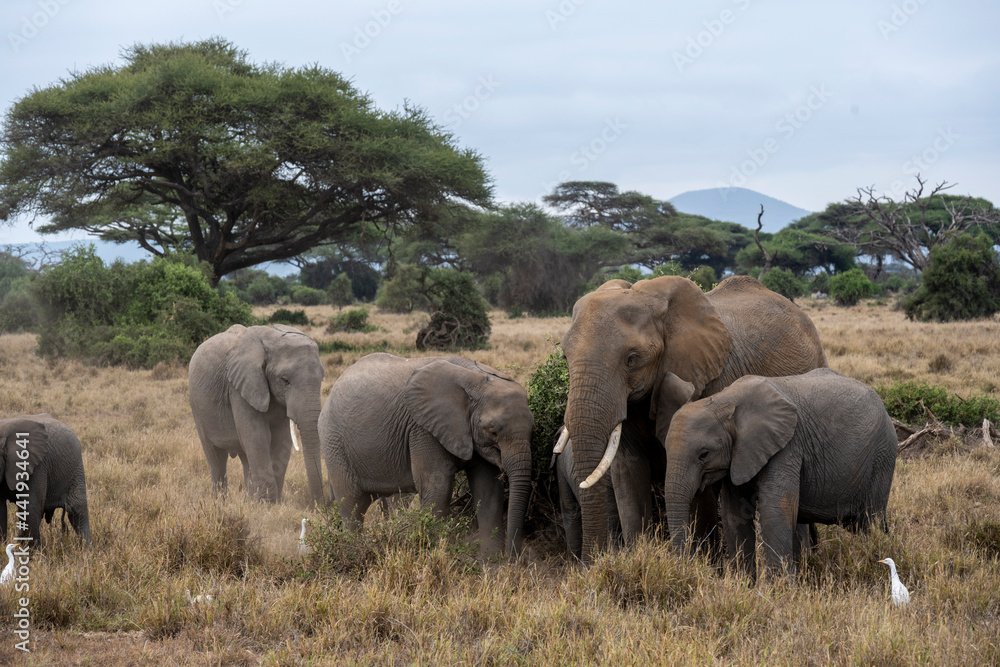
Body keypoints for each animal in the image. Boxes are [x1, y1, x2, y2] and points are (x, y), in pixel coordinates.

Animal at [0, 414, 92, 552]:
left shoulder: (36, 466)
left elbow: (31, 506)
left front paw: (34, 554)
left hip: (75, 466)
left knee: (77, 510)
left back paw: (88, 552)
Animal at [188, 324, 324, 506]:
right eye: (285, 380)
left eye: (322, 378)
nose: (321, 506)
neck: (271, 338)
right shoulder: (239, 386)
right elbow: (258, 436)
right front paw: (266, 505)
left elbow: (281, 440)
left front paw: (270, 504)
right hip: (197, 407)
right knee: (216, 459)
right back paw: (219, 504)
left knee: (245, 458)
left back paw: (249, 501)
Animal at [324, 354, 536, 560]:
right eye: (493, 432)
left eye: (533, 429)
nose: (515, 559)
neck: (475, 378)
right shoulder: (423, 429)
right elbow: (437, 484)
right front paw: (438, 553)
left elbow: (488, 487)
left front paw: (491, 561)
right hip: (335, 446)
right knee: (352, 505)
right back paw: (354, 552)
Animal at [564, 276, 828, 564]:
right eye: (565, 357)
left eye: (632, 359)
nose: (587, 563)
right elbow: (628, 471)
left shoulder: (713, 378)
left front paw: (704, 566)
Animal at [664, 368, 900, 580]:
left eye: (703, 455)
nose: (684, 570)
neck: (724, 400)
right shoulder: (739, 455)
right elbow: (734, 514)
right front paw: (745, 586)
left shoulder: (787, 446)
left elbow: (775, 509)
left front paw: (778, 589)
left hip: (882, 455)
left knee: (871, 520)